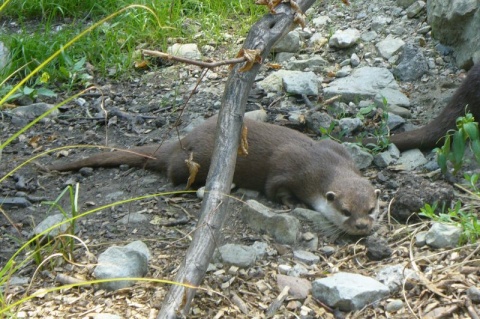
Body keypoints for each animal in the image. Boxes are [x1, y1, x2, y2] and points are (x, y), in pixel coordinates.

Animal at [48, 118, 378, 238]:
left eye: (371, 210)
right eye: (345, 211)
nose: (362, 226)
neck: (322, 164)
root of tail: (182, 141)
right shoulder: (290, 169)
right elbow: (274, 187)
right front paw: (288, 204)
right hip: (192, 161)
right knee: (173, 172)